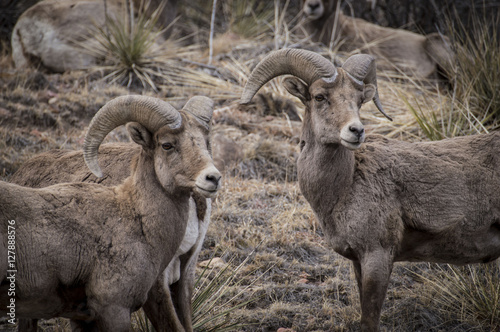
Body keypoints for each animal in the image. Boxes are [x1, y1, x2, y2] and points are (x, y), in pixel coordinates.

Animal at [240, 48, 498, 330]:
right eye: (320, 97)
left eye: (359, 100)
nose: (356, 131)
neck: (344, 187)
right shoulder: (358, 261)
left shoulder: (378, 257)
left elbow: (369, 319)